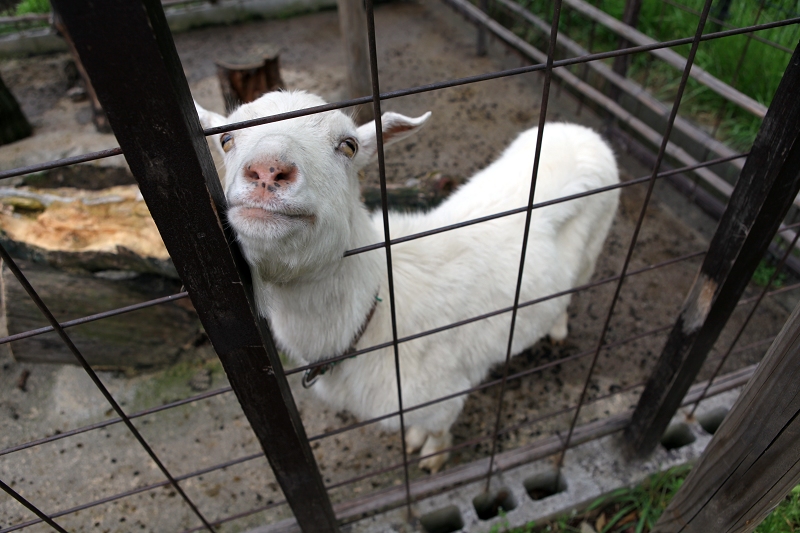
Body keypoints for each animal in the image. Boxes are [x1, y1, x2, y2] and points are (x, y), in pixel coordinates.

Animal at [194, 90, 620, 470]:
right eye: (226, 140)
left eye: (349, 145)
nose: (267, 171)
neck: (376, 315)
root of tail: (581, 131)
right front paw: (415, 440)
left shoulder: (443, 396)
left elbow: (438, 430)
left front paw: (431, 456)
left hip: (596, 240)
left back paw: (558, 328)